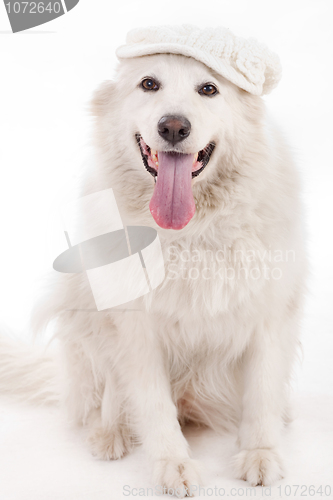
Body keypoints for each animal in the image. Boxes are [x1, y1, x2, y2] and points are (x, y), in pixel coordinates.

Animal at [0, 26, 306, 496]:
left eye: (209, 88)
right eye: (149, 84)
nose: (174, 126)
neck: (189, 231)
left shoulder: (270, 316)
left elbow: (261, 394)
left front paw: (260, 452)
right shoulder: (135, 331)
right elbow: (153, 405)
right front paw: (172, 465)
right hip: (83, 309)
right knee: (108, 396)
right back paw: (111, 434)